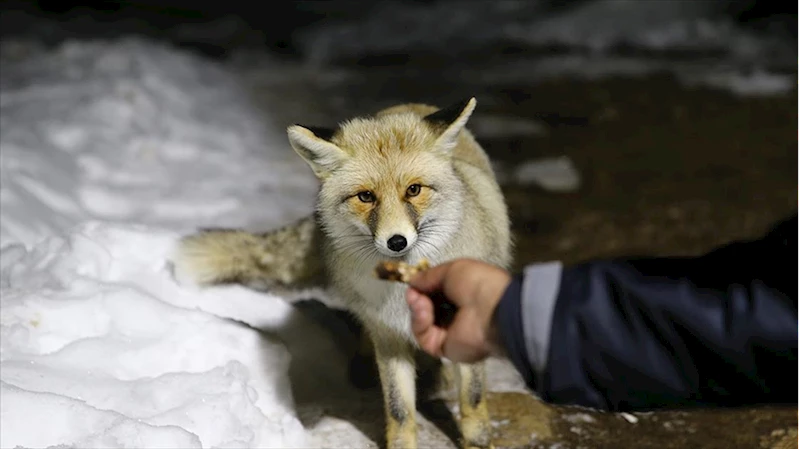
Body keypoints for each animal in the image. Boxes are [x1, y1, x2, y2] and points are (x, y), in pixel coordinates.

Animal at [172, 97, 516, 448]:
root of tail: (404, 104)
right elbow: (399, 411)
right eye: (366, 196)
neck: (402, 286)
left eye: (414, 190)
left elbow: (472, 399)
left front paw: (477, 442)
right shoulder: (387, 334)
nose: (396, 241)